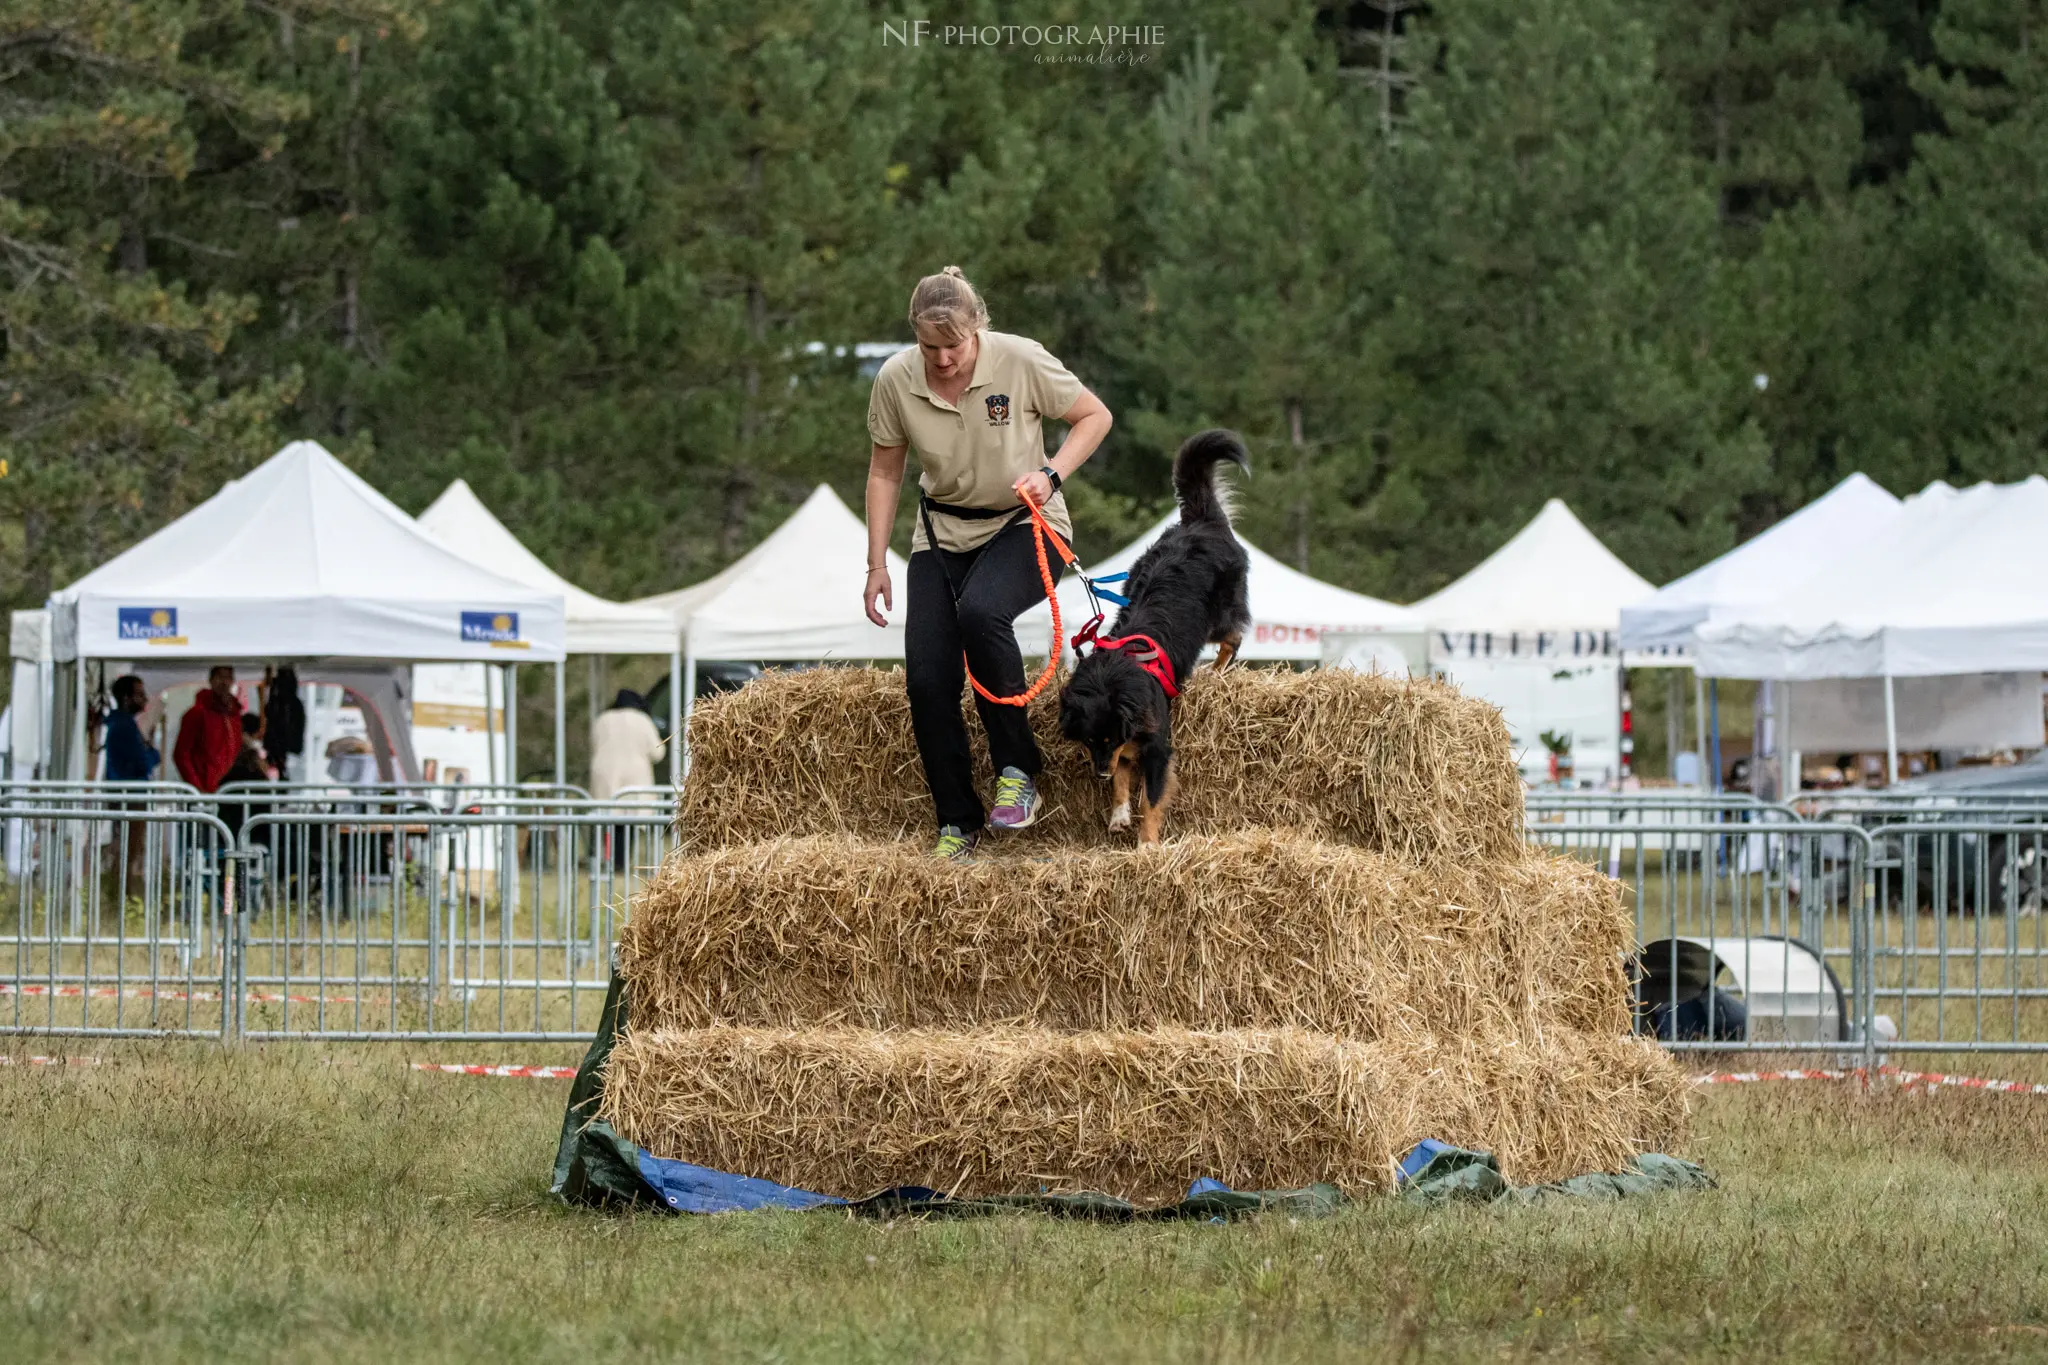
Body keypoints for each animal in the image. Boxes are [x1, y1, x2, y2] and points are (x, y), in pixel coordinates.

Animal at [1056, 429, 1245, 843]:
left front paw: (1147, 844)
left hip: (1221, 613)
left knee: (1234, 637)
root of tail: (1201, 521)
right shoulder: (1128, 743)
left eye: (1106, 739)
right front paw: (1118, 814)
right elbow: (1124, 782)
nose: (1099, 773)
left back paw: (1218, 670)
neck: (1115, 674)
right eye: (1089, 740)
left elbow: (1153, 797)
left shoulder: (1157, 744)